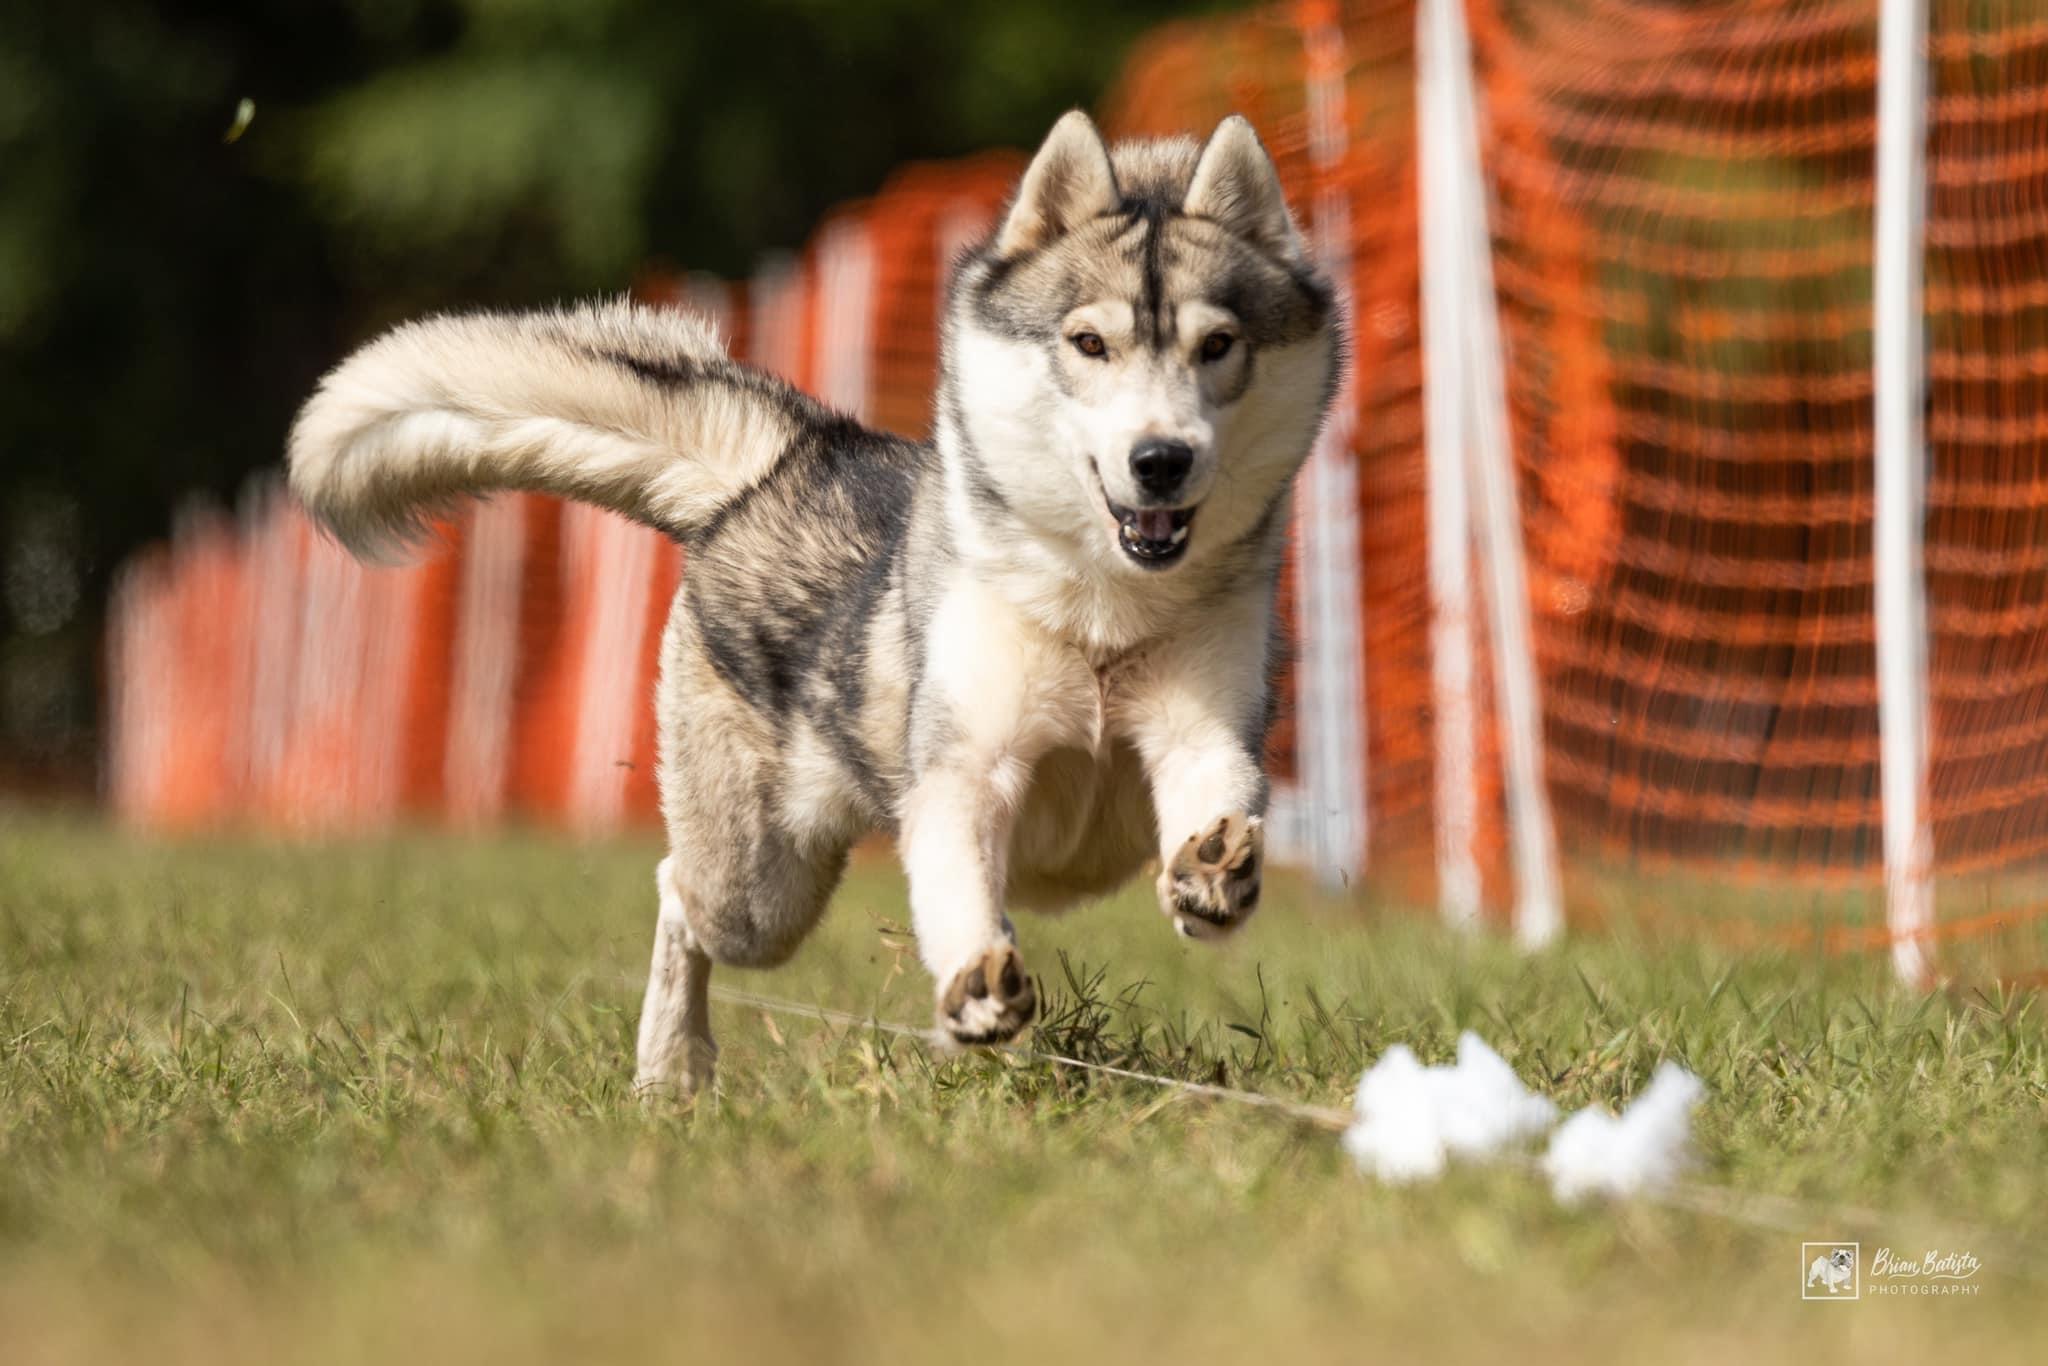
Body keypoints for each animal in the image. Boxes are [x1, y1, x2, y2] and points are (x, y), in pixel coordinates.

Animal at [287, 110, 1342, 1095]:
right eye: (1089, 342)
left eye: (1218, 346)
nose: (1161, 460)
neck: (1103, 615)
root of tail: (782, 462)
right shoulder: (966, 767)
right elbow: (958, 884)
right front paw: (974, 983)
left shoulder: (1203, 729)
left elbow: (1215, 796)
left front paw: (1211, 874)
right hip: (763, 885)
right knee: (681, 895)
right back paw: (671, 1067)